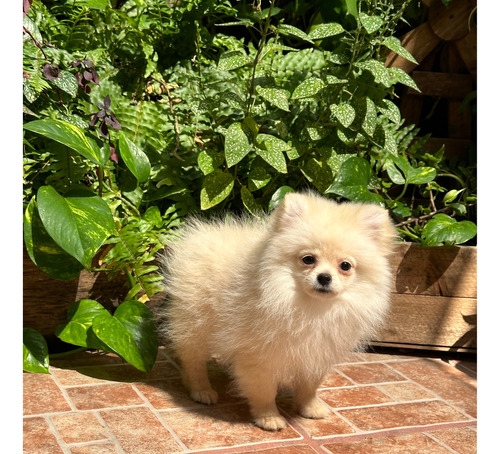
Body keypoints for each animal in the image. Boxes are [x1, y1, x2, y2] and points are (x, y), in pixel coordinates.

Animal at [160, 190, 394, 430]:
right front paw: (268, 417)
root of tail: (198, 237)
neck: (310, 307)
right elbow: (264, 390)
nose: (324, 277)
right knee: (192, 358)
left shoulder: (318, 351)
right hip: (197, 322)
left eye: (345, 265)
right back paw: (201, 389)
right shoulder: (259, 354)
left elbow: (309, 386)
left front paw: (310, 407)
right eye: (308, 259)